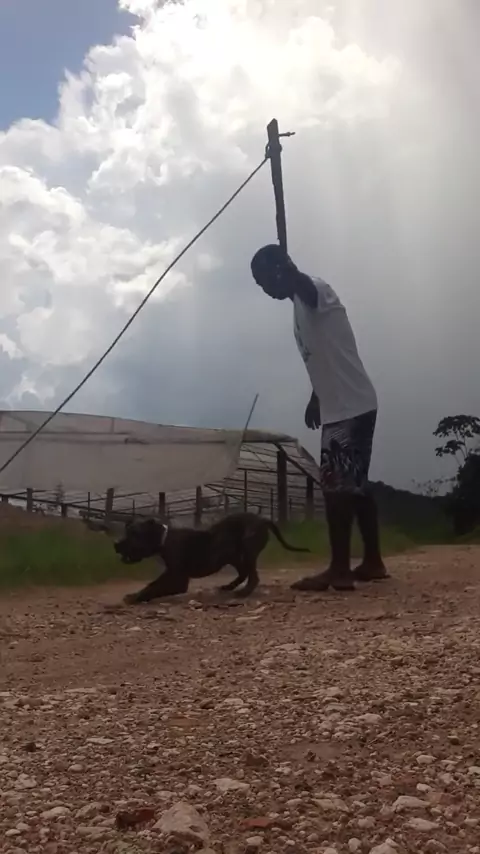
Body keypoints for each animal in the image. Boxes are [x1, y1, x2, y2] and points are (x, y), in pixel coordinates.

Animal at [88, 512, 309, 603]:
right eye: (128, 530)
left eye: (134, 533)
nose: (116, 544)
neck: (164, 539)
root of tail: (263, 519)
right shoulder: (171, 573)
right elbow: (152, 584)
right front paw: (135, 595)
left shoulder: (177, 578)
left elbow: (154, 587)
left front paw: (136, 598)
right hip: (233, 556)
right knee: (244, 572)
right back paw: (228, 587)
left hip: (247, 549)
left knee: (253, 576)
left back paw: (242, 593)